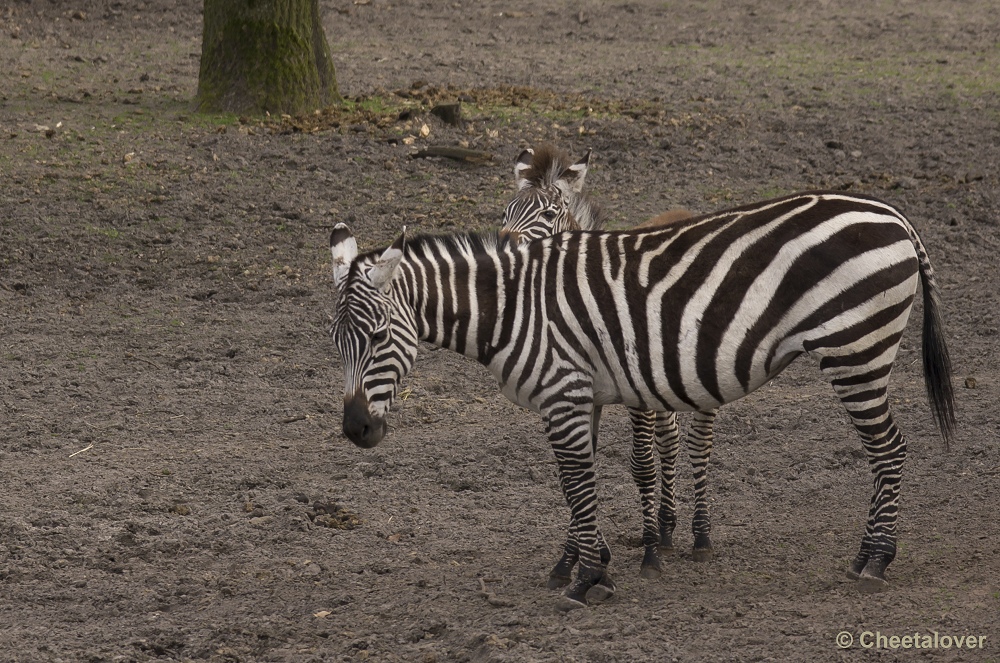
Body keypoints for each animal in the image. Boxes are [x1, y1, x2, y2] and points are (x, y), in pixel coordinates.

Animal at [326, 192, 952, 612]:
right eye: (336, 341)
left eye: (378, 336)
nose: (356, 430)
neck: (512, 310)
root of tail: (891, 213)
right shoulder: (583, 396)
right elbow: (576, 485)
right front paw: (584, 563)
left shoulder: (563, 392)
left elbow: (577, 482)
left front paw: (587, 579)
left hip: (857, 349)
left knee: (890, 450)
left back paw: (875, 557)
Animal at [504, 143, 716, 584]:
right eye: (506, 212)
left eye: (548, 214)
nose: (504, 247)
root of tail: (682, 213)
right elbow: (574, 472)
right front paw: (576, 559)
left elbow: (641, 465)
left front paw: (645, 555)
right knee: (670, 439)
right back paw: (668, 528)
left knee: (699, 442)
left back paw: (701, 537)